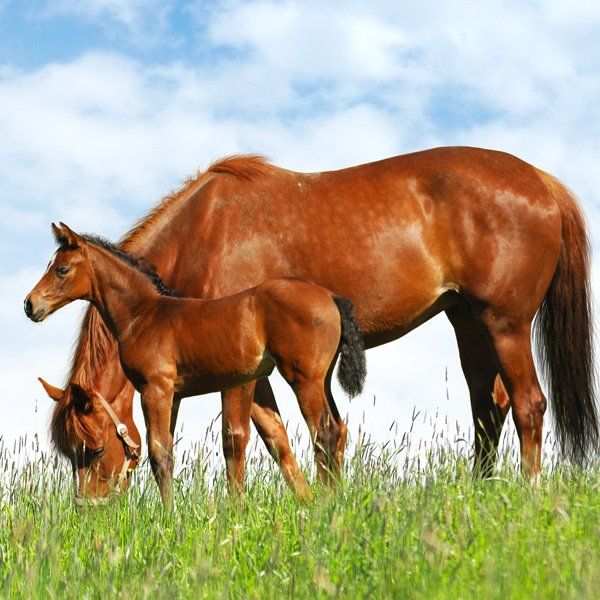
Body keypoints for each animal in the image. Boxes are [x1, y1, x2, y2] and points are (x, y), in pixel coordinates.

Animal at [24, 224, 366, 506]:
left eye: (62, 269)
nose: (30, 304)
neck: (144, 314)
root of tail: (331, 297)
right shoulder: (173, 395)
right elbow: (166, 450)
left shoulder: (154, 389)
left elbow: (159, 455)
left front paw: (169, 519)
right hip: (322, 379)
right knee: (337, 430)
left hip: (304, 378)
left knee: (323, 434)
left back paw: (325, 505)